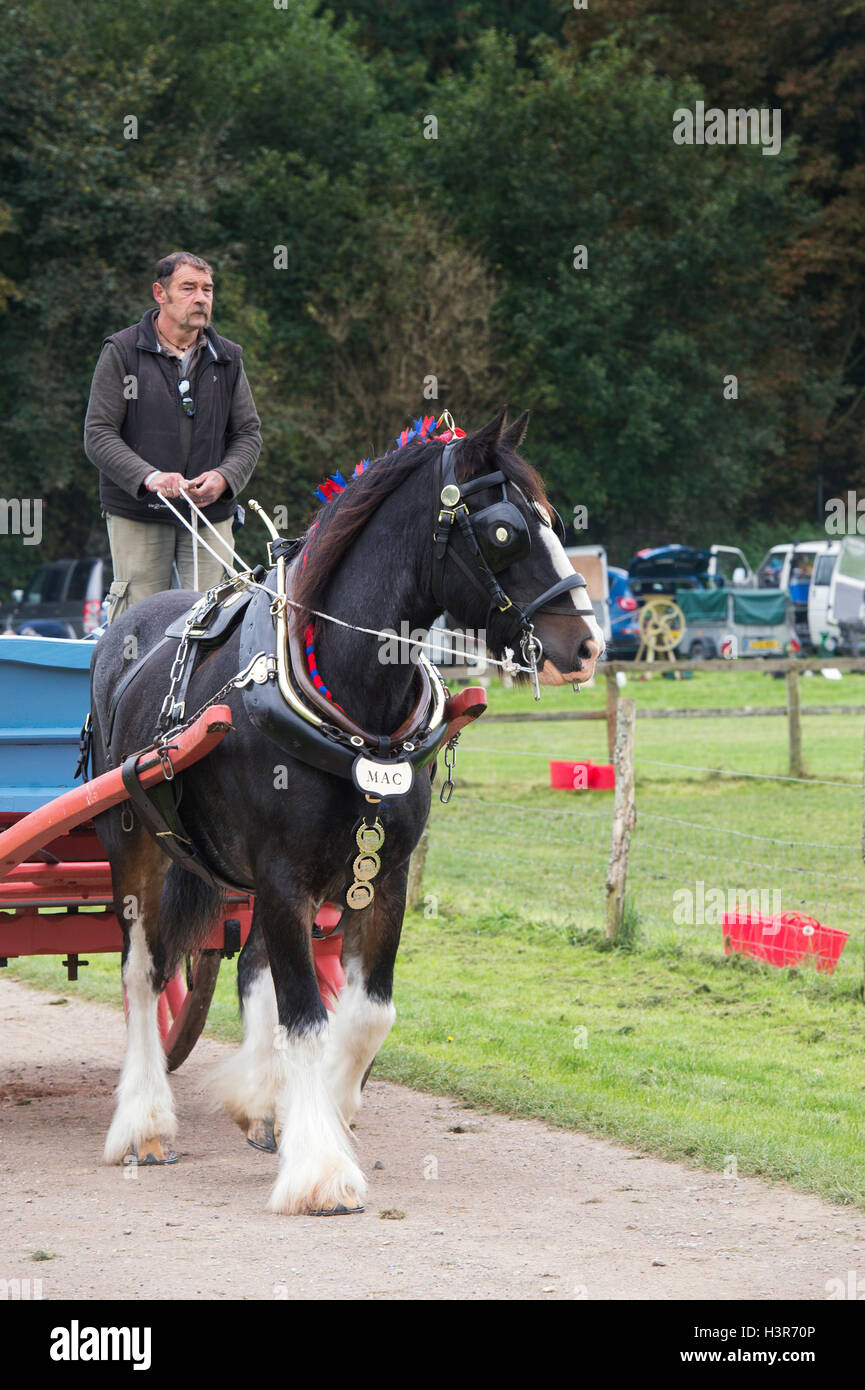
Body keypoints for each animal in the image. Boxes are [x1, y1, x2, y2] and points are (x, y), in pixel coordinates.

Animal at [88, 405, 603, 1212]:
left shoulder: (379, 878)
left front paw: (320, 1105)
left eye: (553, 521)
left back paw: (259, 1100)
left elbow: (362, 1013)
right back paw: (143, 1122)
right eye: (503, 532)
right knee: (143, 974)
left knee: (248, 964)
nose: (585, 645)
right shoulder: (282, 877)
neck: (349, 701)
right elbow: (305, 1016)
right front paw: (320, 1170)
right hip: (136, 843)